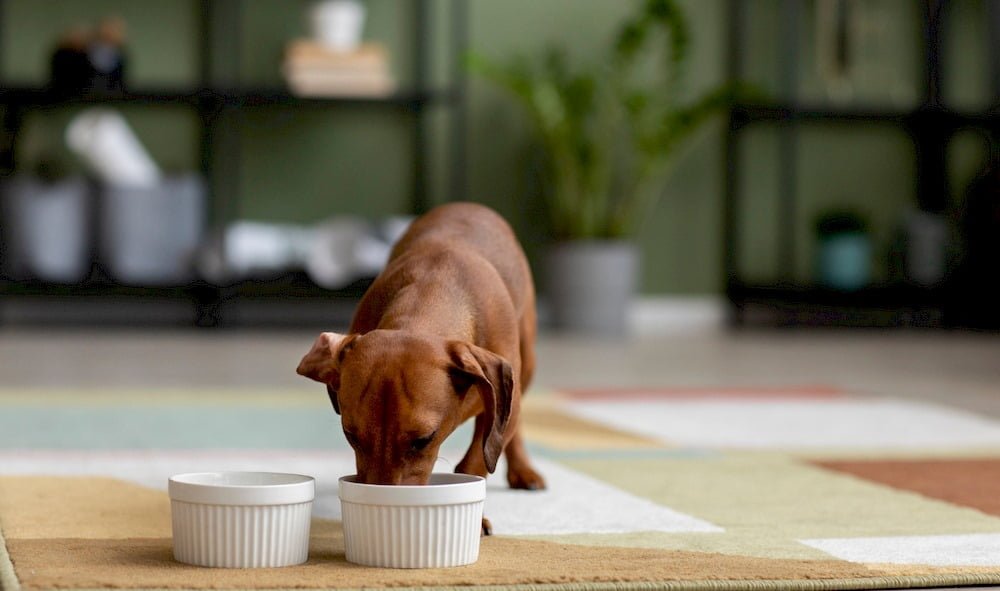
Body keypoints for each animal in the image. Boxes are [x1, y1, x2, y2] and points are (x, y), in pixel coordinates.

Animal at [296, 201, 544, 536]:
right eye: (350, 434)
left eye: (424, 440)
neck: (434, 288)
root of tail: (469, 205)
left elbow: (476, 462)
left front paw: (476, 519)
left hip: (526, 365)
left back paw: (522, 469)